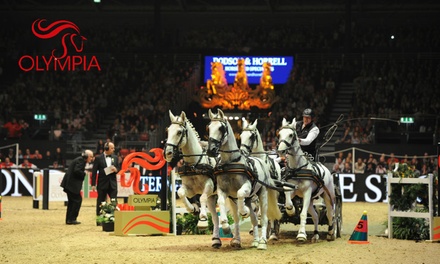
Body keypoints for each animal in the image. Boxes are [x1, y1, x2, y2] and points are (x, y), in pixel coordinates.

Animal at [164, 109, 222, 248]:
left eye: (179, 132)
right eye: (168, 130)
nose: (168, 153)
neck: (194, 164)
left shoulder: (209, 186)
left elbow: (201, 198)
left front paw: (202, 217)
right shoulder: (189, 189)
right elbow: (181, 193)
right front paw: (193, 209)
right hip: (213, 196)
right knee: (216, 216)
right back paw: (217, 239)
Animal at [206, 108, 282, 249]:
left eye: (221, 128)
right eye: (209, 127)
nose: (210, 150)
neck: (231, 163)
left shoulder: (246, 187)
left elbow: (241, 194)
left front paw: (244, 211)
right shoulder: (223, 191)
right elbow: (221, 202)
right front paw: (225, 226)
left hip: (262, 193)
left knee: (263, 217)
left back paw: (262, 241)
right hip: (250, 197)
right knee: (254, 218)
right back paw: (255, 240)